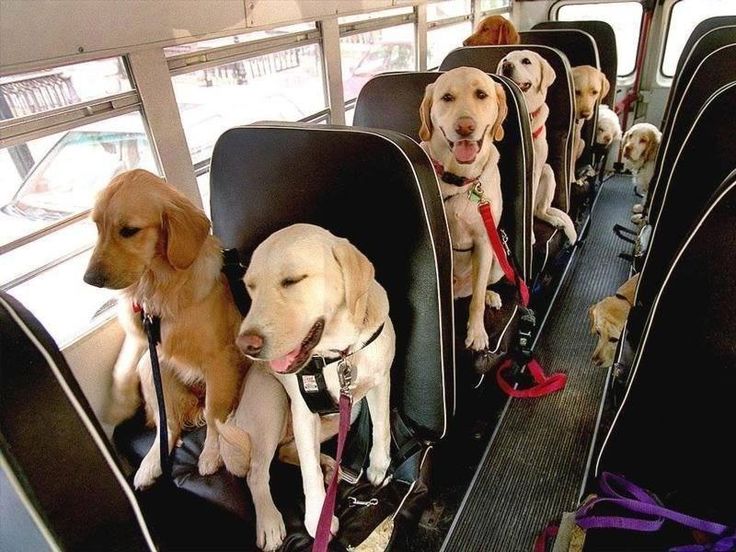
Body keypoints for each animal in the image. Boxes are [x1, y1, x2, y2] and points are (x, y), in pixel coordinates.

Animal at [216, 223, 394, 548]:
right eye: (251, 287)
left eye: (292, 280)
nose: (245, 345)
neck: (340, 353)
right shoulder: (304, 412)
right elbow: (308, 474)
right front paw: (316, 519)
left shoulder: (379, 381)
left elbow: (382, 427)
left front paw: (378, 465)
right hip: (272, 404)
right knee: (258, 472)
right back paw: (270, 522)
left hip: (346, 414)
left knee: (287, 452)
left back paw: (328, 465)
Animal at [498, 49, 576, 244]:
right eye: (505, 59)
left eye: (526, 61)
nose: (506, 66)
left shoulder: (533, 172)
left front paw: (530, 235)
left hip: (548, 173)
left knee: (537, 211)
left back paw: (554, 220)